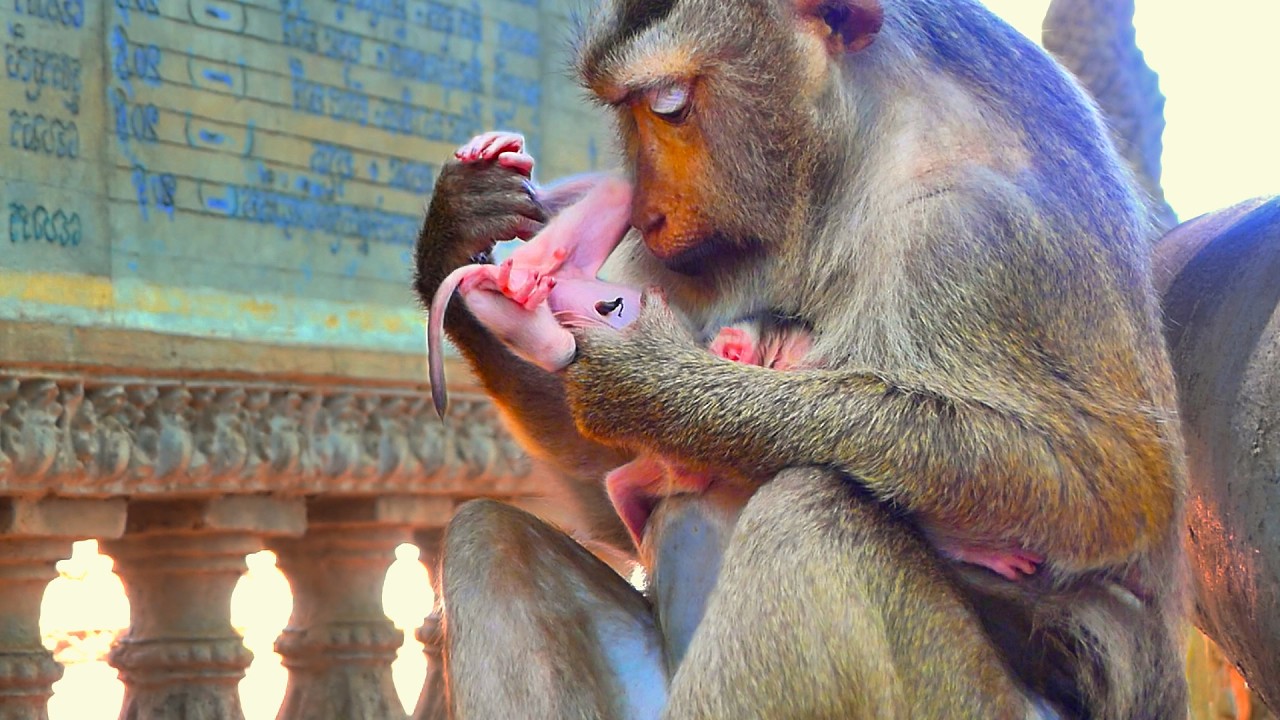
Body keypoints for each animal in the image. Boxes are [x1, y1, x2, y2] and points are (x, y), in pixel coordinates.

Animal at [415, 0, 1189, 717]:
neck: (842, 159)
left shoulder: (976, 233)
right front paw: (460, 229)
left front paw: (649, 385)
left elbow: (1101, 493)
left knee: (810, 512)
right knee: (492, 535)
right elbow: (600, 480)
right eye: (627, 109)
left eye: (670, 107)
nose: (649, 210)